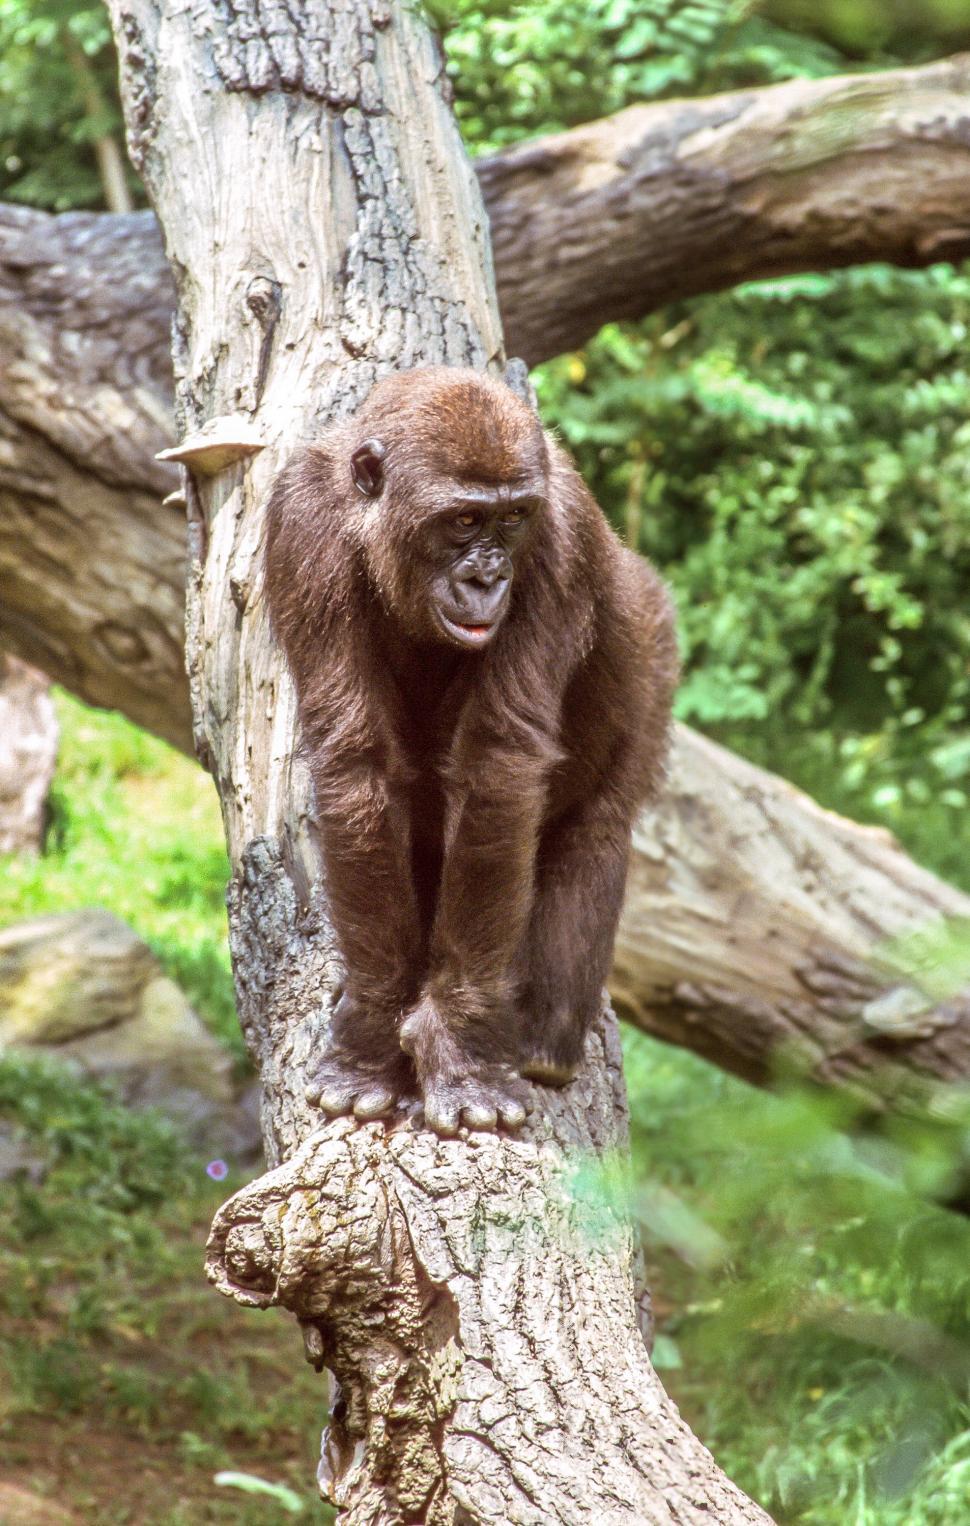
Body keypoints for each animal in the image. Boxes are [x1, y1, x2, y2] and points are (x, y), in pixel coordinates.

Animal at [263, 367, 678, 1136]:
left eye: (511, 520)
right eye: (462, 522)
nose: (487, 577)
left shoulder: (559, 542)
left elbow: (498, 767)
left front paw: (459, 1045)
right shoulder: (300, 524)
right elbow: (357, 762)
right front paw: (372, 1031)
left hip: (652, 642)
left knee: (598, 830)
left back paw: (545, 1035)